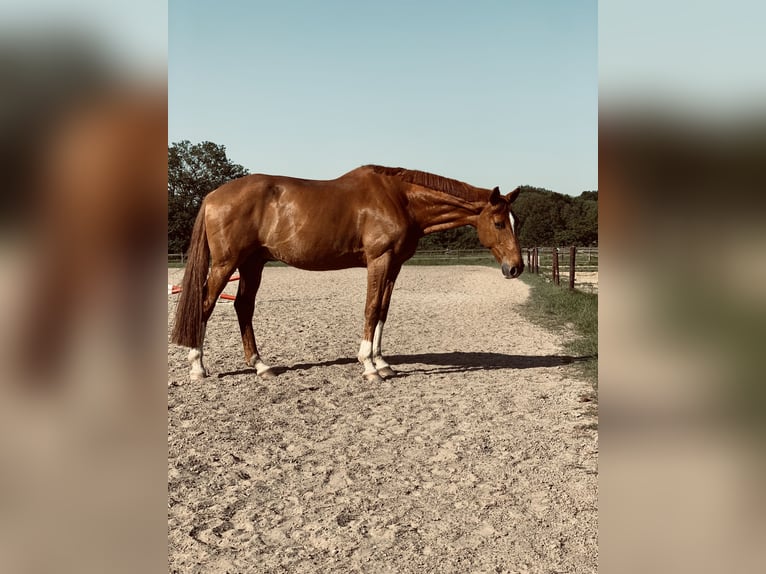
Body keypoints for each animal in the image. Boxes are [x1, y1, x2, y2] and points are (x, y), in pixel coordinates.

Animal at [170, 164, 524, 382]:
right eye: (498, 223)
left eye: (515, 221)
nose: (515, 267)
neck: (399, 199)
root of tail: (212, 196)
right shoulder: (379, 260)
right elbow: (370, 309)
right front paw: (369, 367)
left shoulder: (394, 264)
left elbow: (382, 311)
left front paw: (383, 363)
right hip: (226, 263)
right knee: (205, 305)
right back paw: (198, 367)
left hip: (252, 263)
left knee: (243, 307)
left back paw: (261, 366)